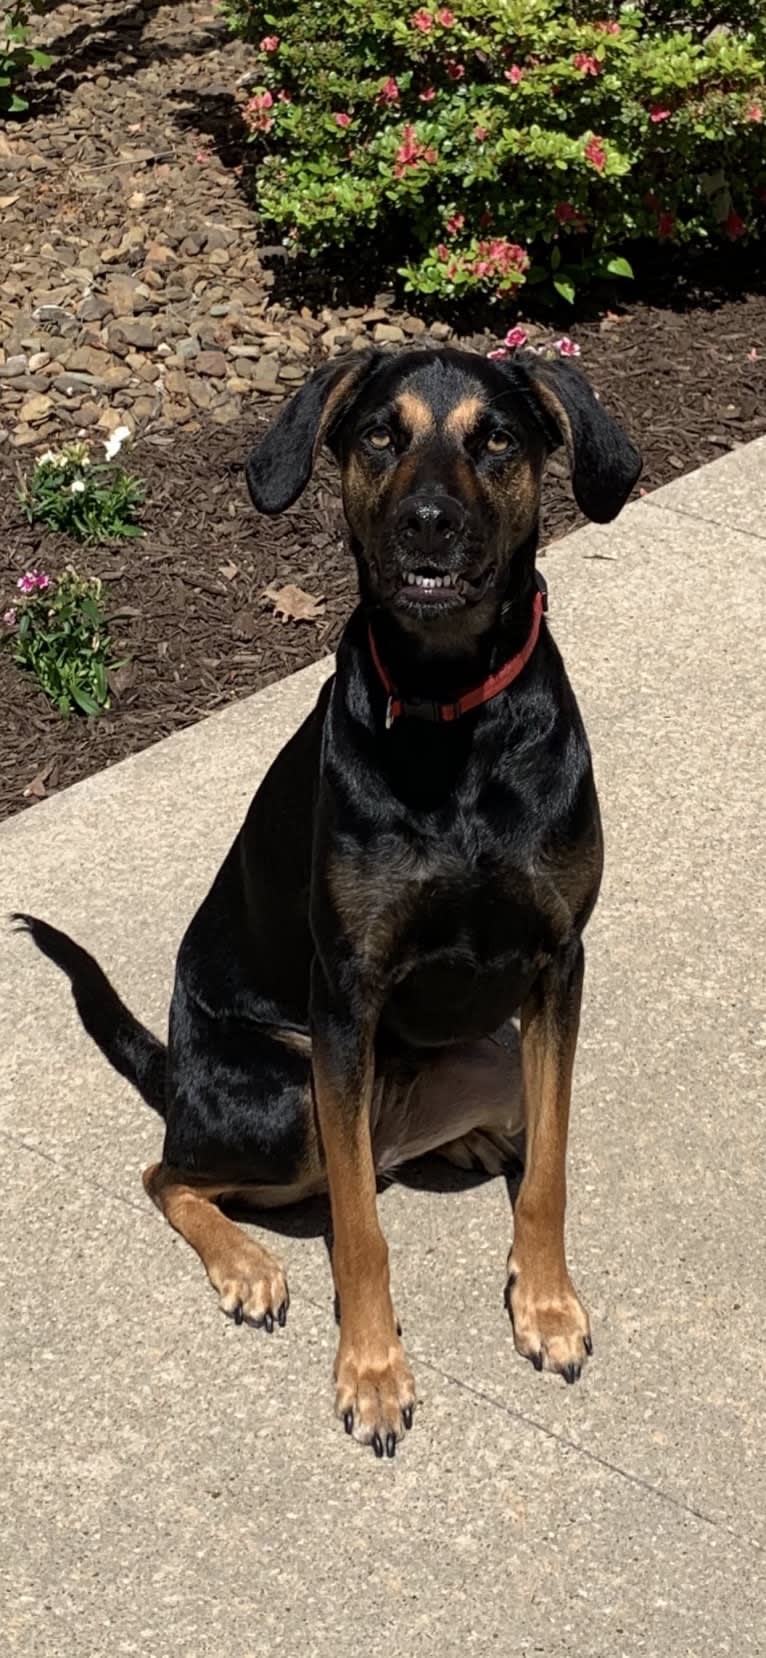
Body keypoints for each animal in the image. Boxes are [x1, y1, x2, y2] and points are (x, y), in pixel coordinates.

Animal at [17, 343, 639, 1459]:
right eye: (381, 434)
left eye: (497, 438)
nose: (428, 521)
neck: (449, 718)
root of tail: (176, 1070)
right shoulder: (346, 996)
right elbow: (359, 1230)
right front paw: (373, 1370)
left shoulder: (557, 962)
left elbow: (549, 1174)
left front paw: (547, 1304)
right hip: (289, 1098)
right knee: (172, 1172)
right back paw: (246, 1262)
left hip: (488, 1054)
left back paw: (468, 1138)